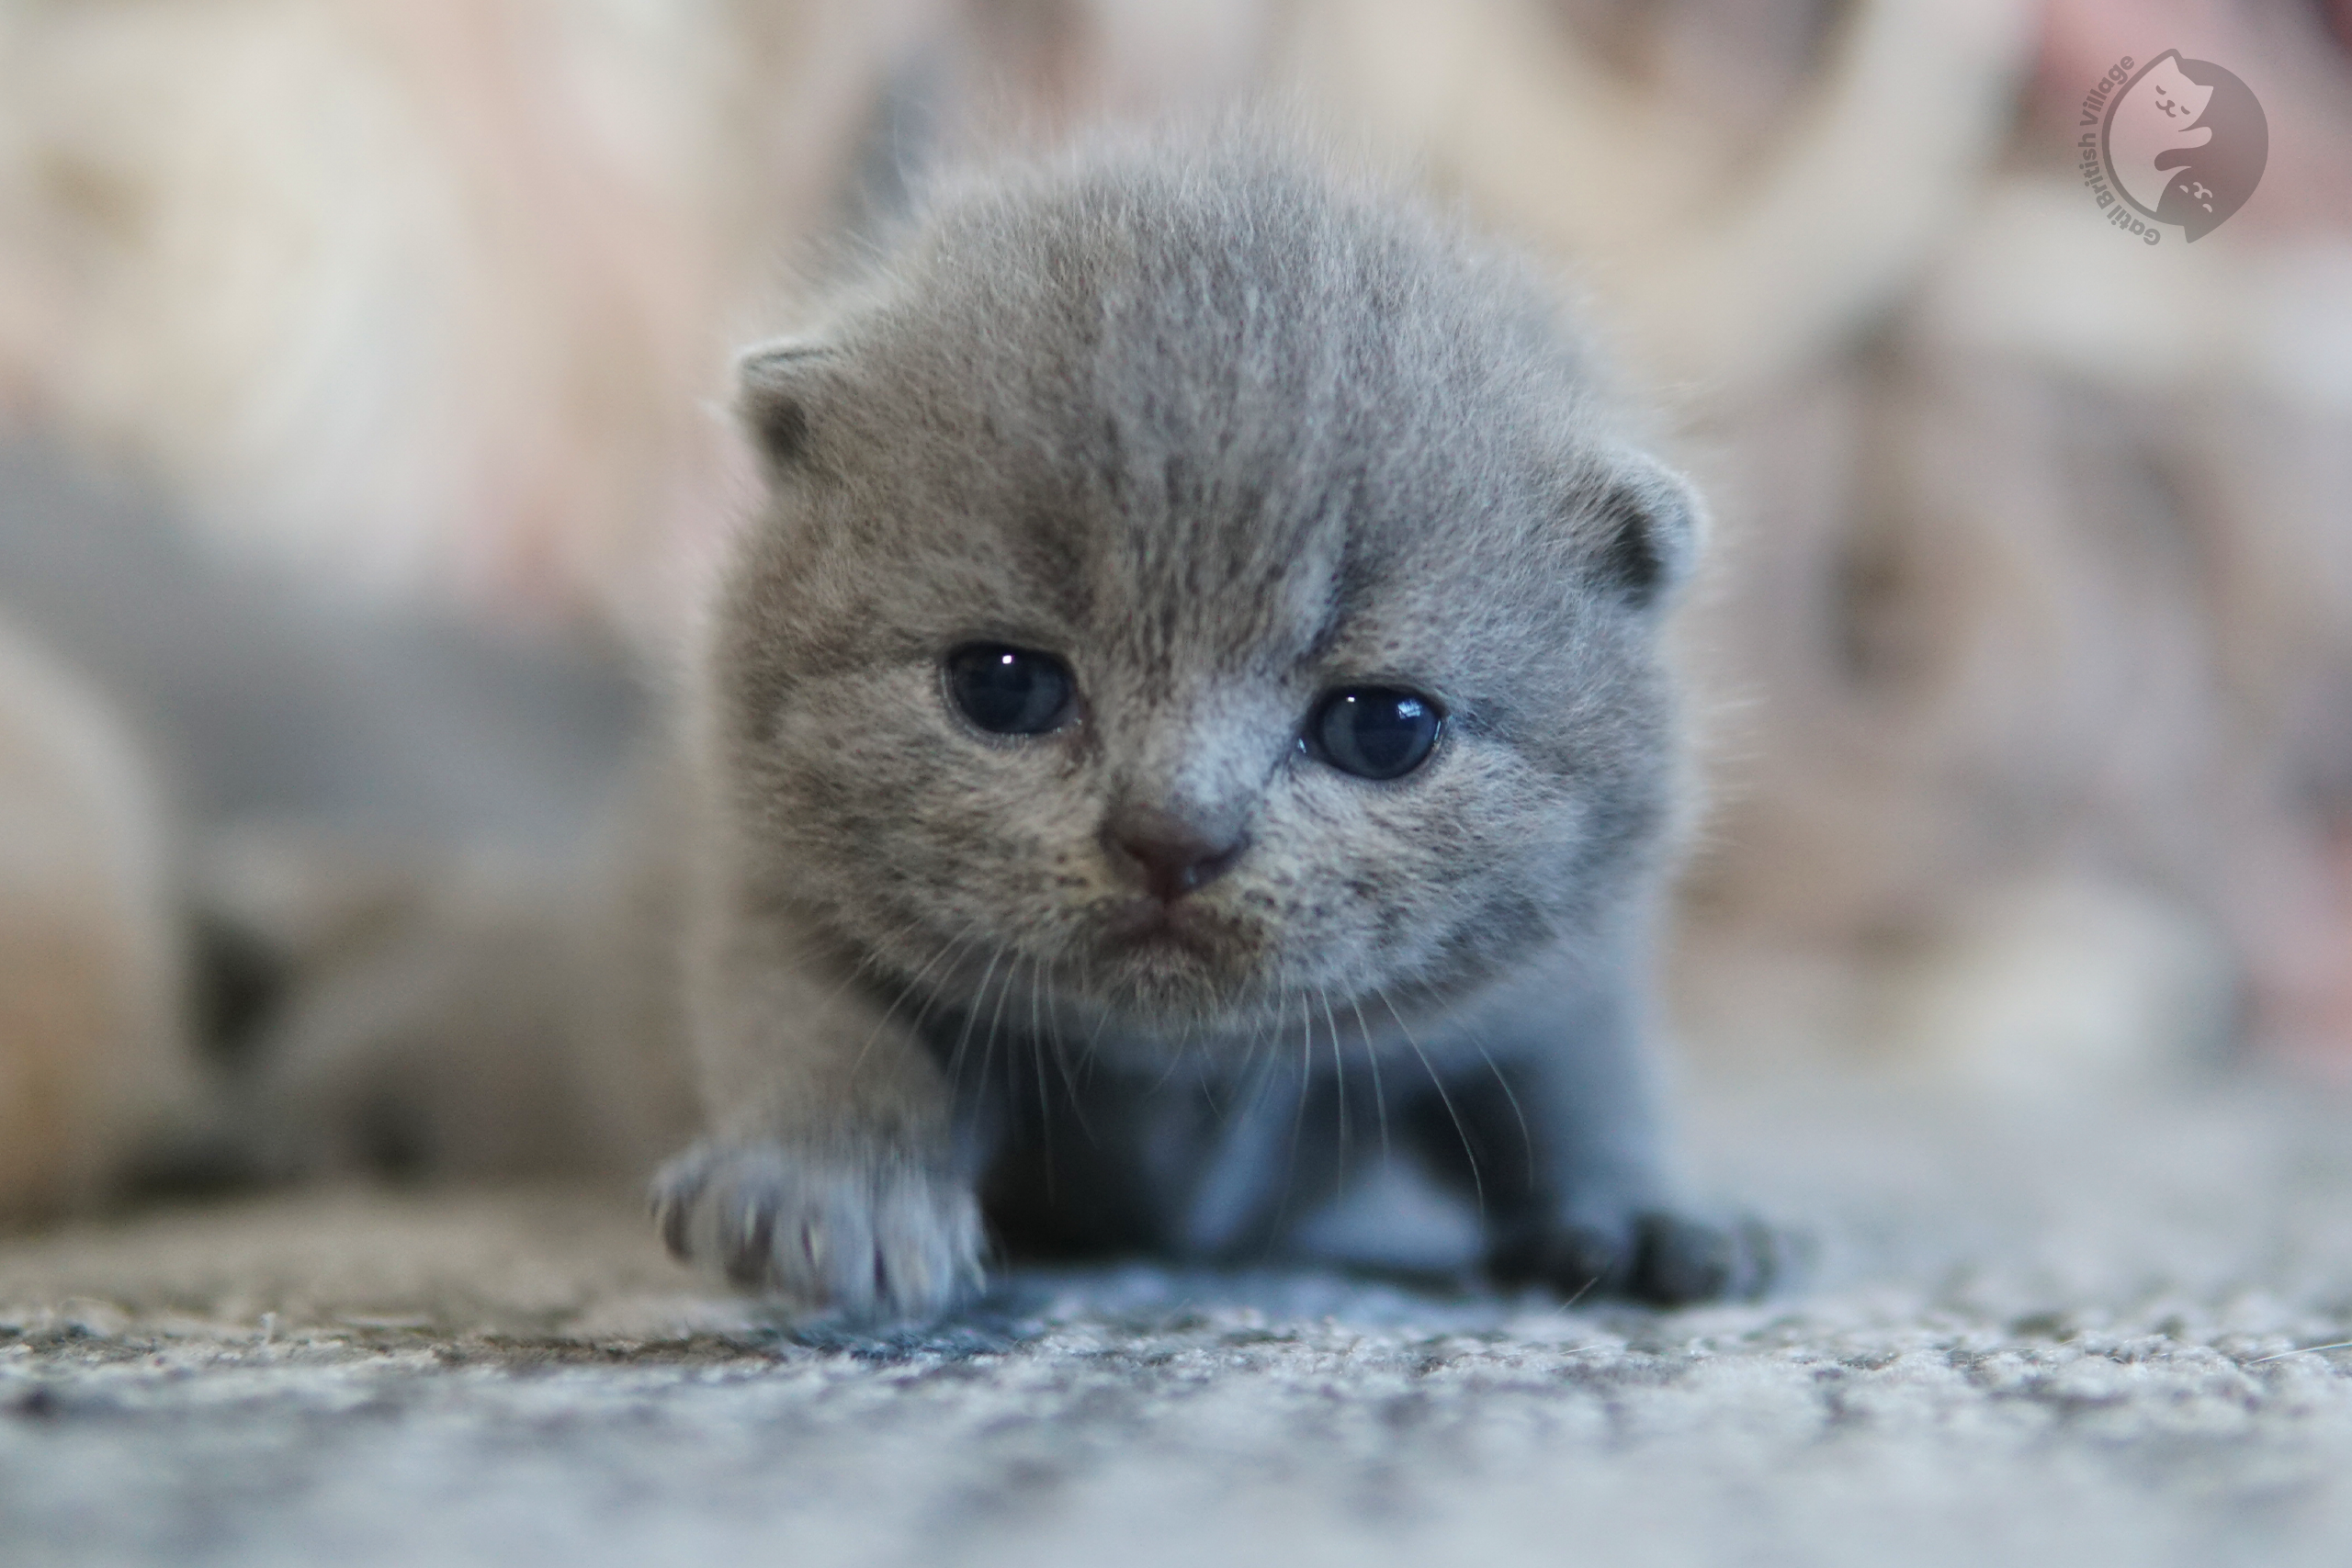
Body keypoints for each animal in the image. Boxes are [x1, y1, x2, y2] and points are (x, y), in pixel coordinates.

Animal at [653, 129, 1769, 1316]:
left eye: (1383, 728)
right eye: (1003, 686)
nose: (1173, 835)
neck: (1184, 1077)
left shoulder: (1563, 967)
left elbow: (1585, 1080)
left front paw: (1646, 1212)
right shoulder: (770, 884)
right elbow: (813, 1021)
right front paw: (829, 1192)